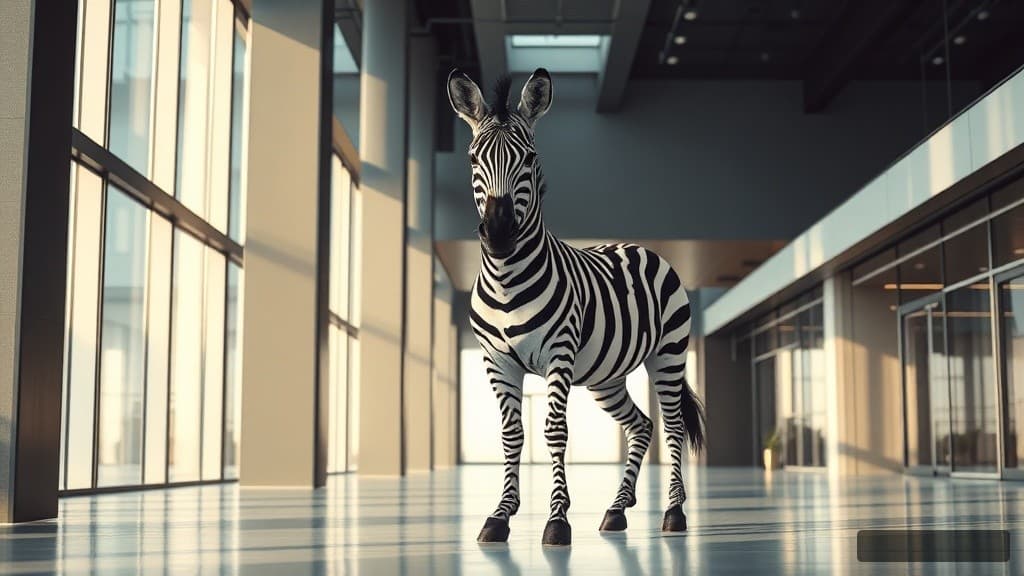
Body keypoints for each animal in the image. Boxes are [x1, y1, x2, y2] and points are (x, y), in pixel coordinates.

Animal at [447, 68, 706, 547]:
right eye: (473, 160)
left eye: (530, 159)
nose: (499, 234)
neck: (507, 280)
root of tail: (640, 246)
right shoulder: (496, 362)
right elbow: (511, 434)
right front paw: (500, 515)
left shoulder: (559, 354)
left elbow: (555, 430)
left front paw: (557, 520)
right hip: (608, 376)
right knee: (642, 425)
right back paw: (617, 510)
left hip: (669, 355)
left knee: (673, 424)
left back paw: (674, 514)